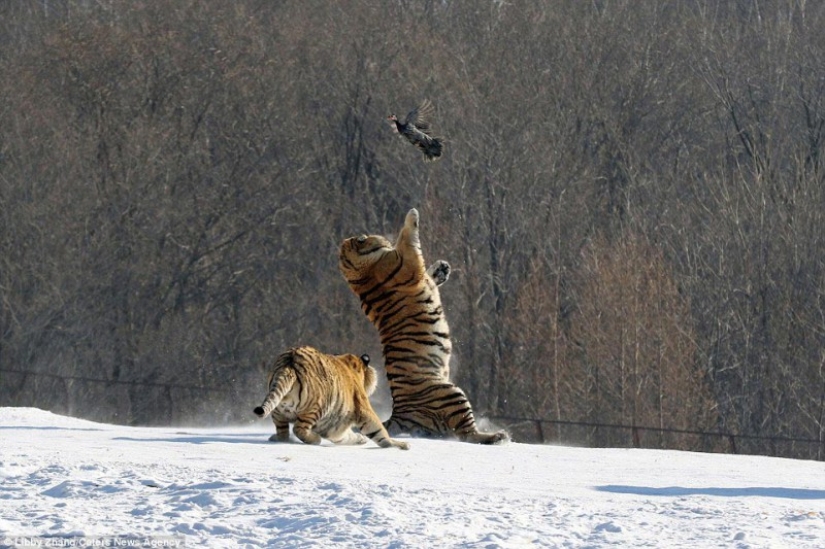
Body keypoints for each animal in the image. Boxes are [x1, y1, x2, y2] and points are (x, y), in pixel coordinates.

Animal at [252, 346, 409, 450]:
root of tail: (289, 361)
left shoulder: (333, 427)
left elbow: (345, 437)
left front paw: (360, 439)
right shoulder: (363, 408)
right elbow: (379, 430)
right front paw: (399, 445)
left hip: (278, 412)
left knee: (283, 433)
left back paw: (275, 438)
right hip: (315, 407)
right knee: (299, 429)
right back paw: (315, 439)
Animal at [339, 208, 510, 445]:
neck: (361, 272)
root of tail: (398, 414)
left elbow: (427, 271)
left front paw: (442, 268)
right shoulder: (406, 260)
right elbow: (408, 237)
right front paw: (412, 215)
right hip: (451, 392)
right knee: (467, 434)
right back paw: (498, 436)